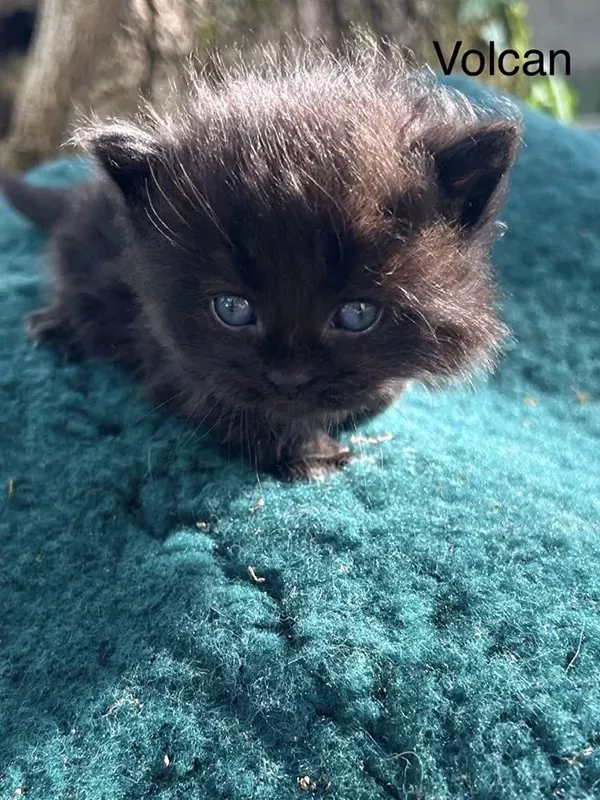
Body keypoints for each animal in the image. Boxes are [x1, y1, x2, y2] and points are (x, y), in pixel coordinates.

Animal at [0, 47, 520, 482]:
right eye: (232, 309)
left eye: (357, 314)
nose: (288, 378)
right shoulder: (168, 355)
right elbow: (231, 403)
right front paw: (308, 453)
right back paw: (57, 324)